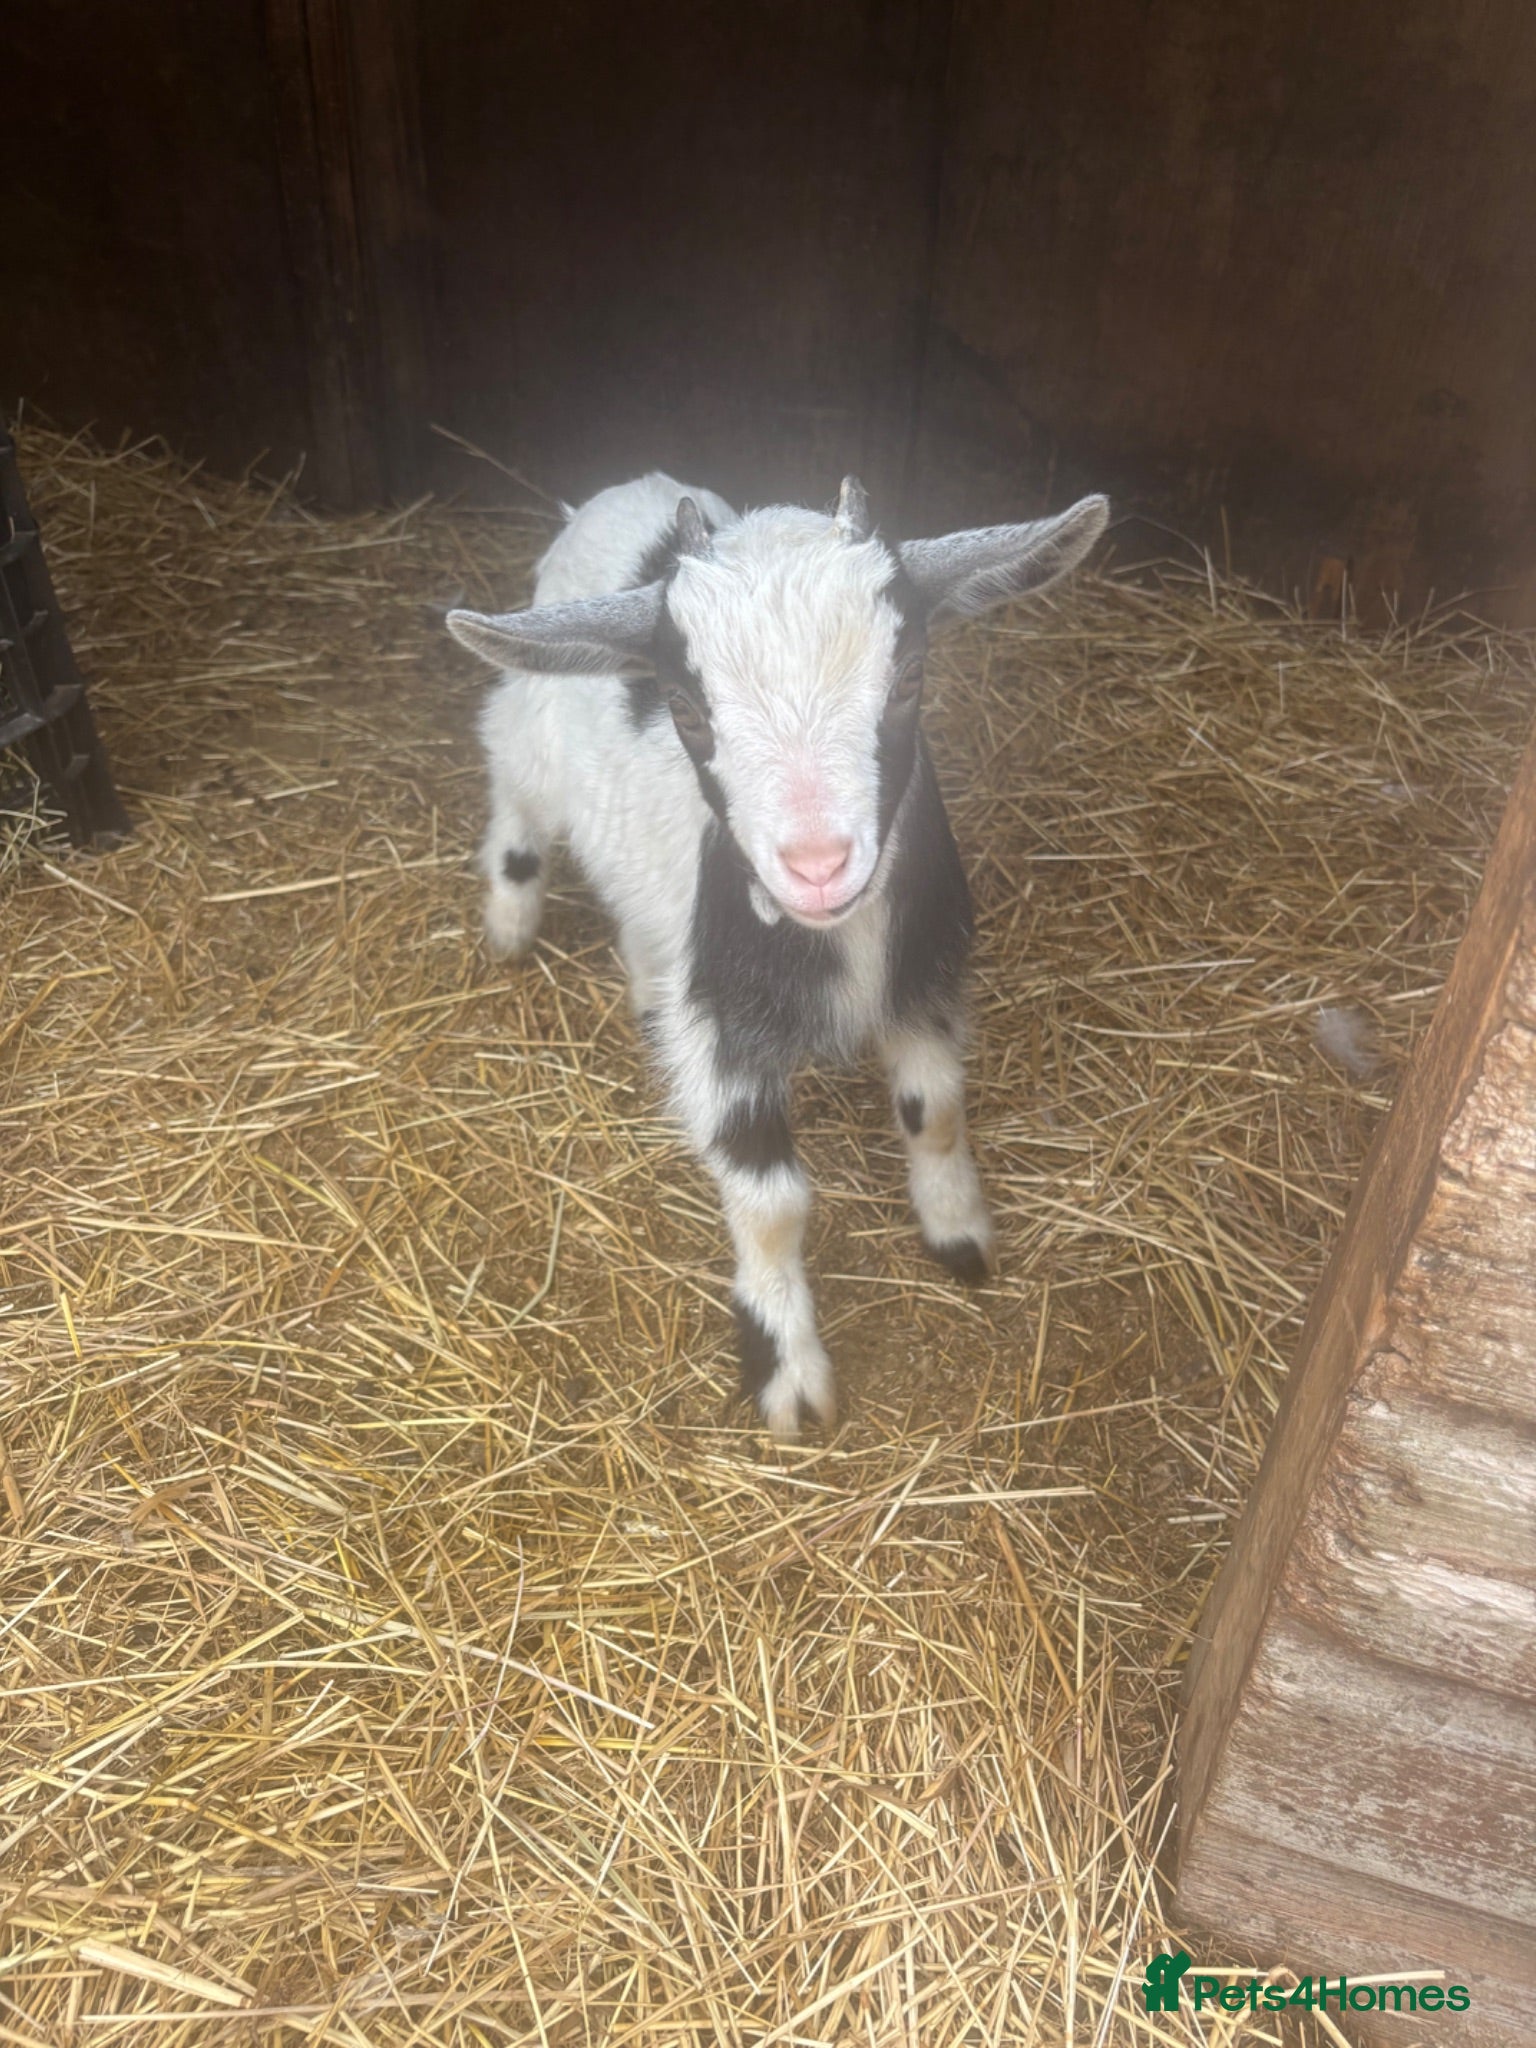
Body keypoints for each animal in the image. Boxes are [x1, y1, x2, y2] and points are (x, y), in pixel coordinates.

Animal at [447, 472, 1107, 1438]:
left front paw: (959, 1237)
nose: (819, 866)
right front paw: (788, 1377)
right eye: (685, 708)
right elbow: (770, 1203)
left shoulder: (924, 979)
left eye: (910, 676)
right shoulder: (727, 1033)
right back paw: (509, 922)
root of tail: (630, 485)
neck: (840, 941)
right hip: (526, 727)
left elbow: (937, 1109)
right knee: (514, 797)